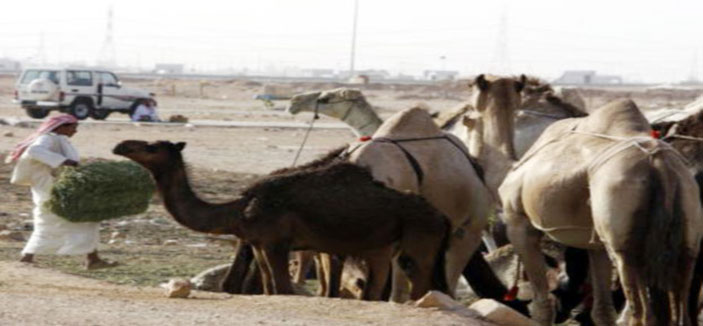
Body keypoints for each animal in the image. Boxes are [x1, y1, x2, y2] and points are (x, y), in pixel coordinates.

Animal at [112, 139, 448, 300]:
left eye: (151, 147)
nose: (121, 145)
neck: (240, 209)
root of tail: (442, 217)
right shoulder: (260, 245)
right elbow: (271, 288)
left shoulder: (276, 243)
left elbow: (284, 289)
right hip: (381, 247)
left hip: (420, 240)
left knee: (419, 279)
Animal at [496, 100, 703, 326]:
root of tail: (659, 167)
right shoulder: (594, 242)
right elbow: (603, 310)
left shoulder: (517, 221)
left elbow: (541, 306)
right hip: (686, 225)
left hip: (625, 244)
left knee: (641, 310)